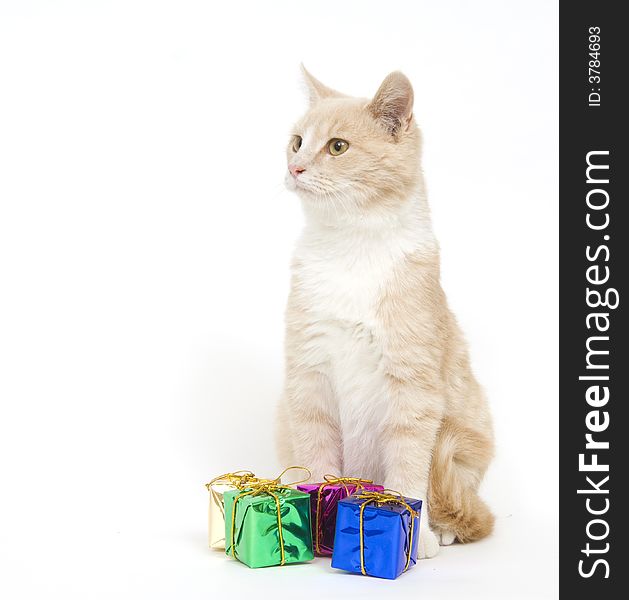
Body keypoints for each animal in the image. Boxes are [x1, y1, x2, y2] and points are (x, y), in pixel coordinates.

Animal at [278, 68, 494, 560]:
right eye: (297, 142)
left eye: (337, 146)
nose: (295, 168)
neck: (351, 249)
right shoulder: (307, 378)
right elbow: (316, 455)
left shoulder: (413, 387)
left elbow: (410, 465)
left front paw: (417, 538)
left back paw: (443, 530)